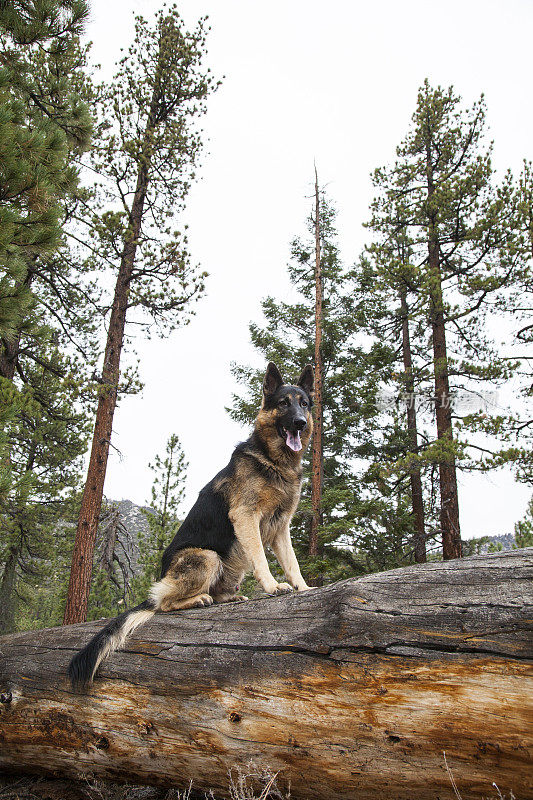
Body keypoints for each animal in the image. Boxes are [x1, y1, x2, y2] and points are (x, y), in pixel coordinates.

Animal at [68, 362, 314, 688]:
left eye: (304, 404)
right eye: (284, 403)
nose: (299, 423)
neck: (275, 461)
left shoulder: (281, 527)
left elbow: (292, 563)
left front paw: (304, 588)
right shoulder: (246, 518)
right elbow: (262, 559)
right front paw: (273, 586)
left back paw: (227, 597)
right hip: (207, 557)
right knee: (164, 602)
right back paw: (197, 599)